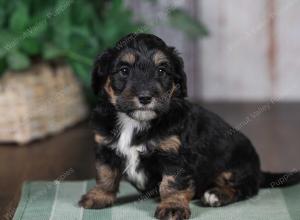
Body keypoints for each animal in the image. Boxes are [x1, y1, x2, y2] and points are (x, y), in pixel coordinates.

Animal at [79, 33, 300, 219]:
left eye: (162, 70)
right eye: (124, 70)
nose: (145, 97)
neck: (135, 122)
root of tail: (259, 170)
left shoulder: (175, 156)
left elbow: (171, 184)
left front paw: (173, 207)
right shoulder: (104, 147)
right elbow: (105, 174)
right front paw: (99, 196)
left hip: (237, 165)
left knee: (243, 188)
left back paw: (217, 194)